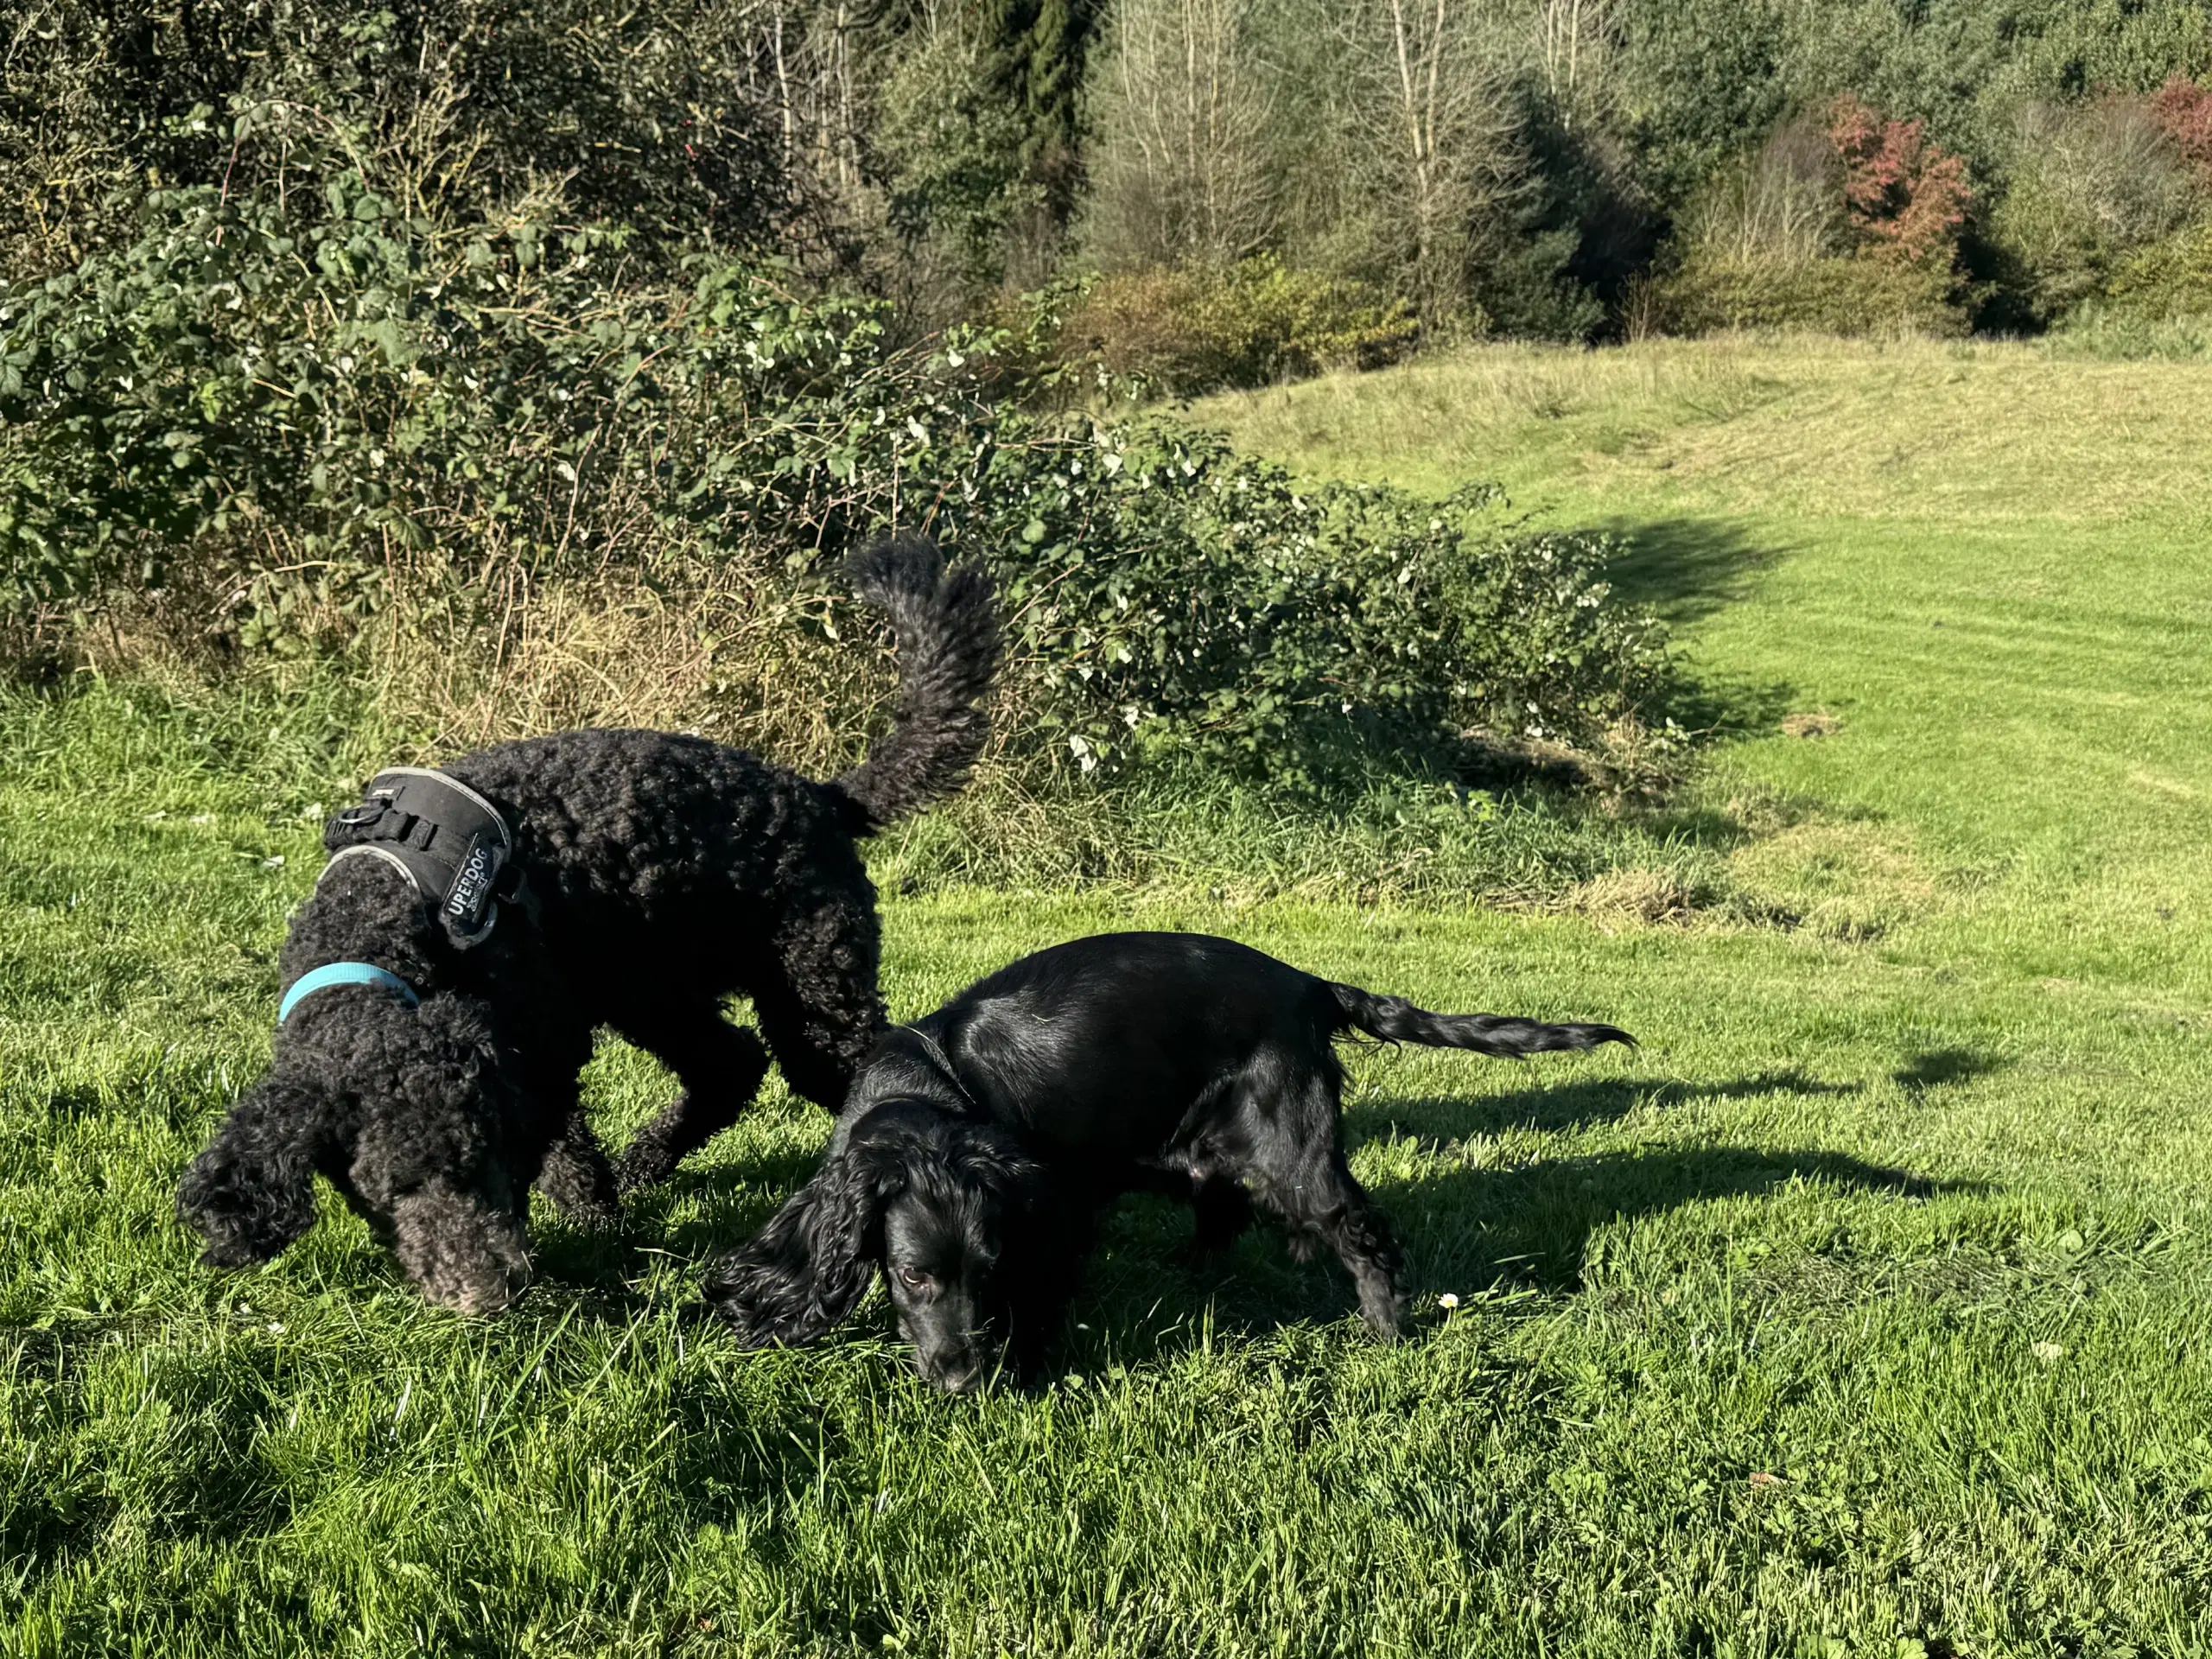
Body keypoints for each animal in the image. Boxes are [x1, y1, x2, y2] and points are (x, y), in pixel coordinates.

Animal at [176, 539, 1000, 1318]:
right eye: (390, 1191)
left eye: (482, 1156)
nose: (493, 1289)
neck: (387, 917)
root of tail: (821, 796)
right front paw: (600, 1214)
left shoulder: (544, 1036)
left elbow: (561, 1144)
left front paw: (593, 1221)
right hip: (651, 987)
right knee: (729, 1065)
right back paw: (647, 1164)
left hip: (808, 995)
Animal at [698, 938, 1637, 1389]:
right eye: (915, 1276)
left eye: (988, 1268)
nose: (964, 1380)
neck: (925, 1086)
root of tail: (1309, 984)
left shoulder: (1054, 1208)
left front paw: (1029, 1364)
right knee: (1224, 1216)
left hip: (1294, 1150)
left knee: (1364, 1235)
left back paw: (1383, 1329)